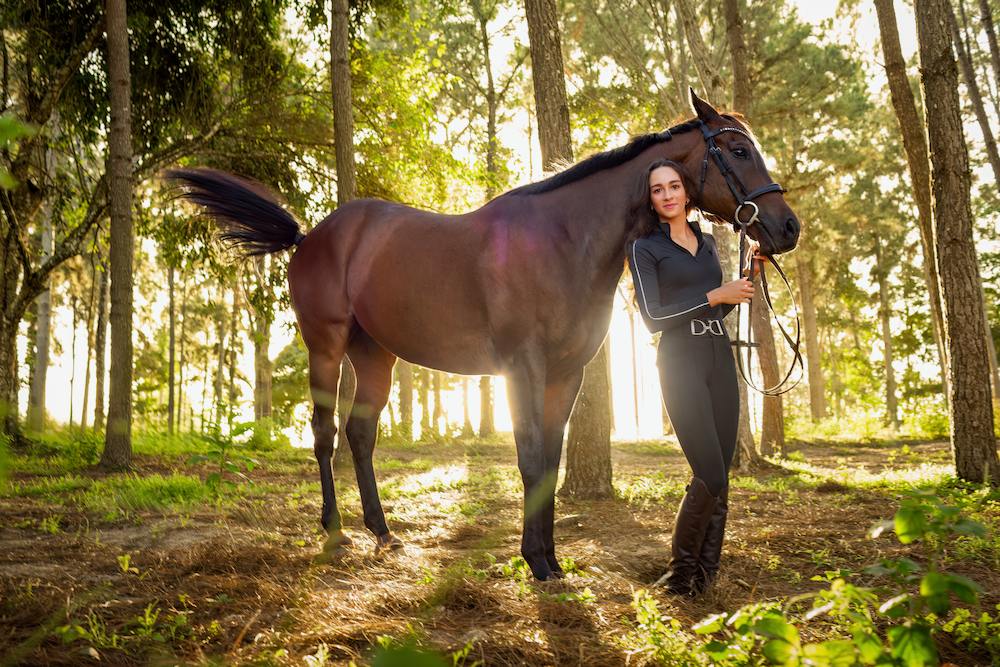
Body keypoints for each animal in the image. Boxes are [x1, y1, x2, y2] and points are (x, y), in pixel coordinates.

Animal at [169, 91, 799, 581]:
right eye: (738, 150)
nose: (787, 227)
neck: (563, 240)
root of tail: (311, 236)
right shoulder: (522, 369)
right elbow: (530, 459)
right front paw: (535, 561)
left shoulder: (566, 374)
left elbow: (551, 461)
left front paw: (552, 558)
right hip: (325, 347)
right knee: (324, 435)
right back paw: (335, 534)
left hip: (376, 356)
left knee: (360, 434)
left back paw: (383, 533)